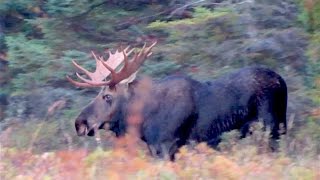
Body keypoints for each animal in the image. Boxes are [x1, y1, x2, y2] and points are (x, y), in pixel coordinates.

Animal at [67, 41, 288, 159]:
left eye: (107, 96)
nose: (79, 123)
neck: (143, 119)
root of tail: (281, 80)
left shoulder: (166, 145)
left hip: (270, 126)